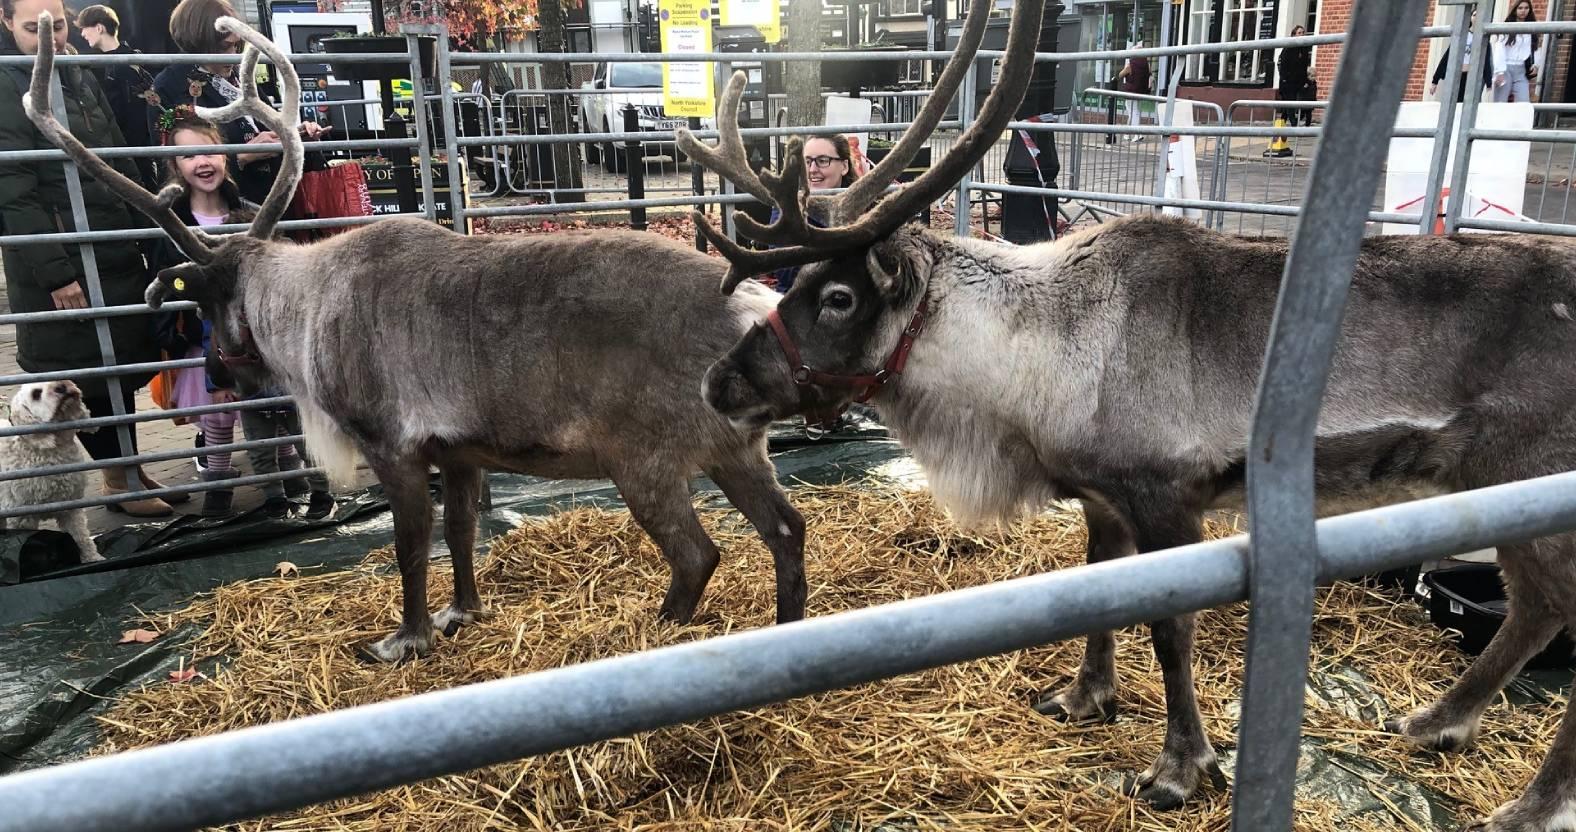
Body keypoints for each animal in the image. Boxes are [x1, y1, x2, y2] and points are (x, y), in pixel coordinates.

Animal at [19, 10, 823, 664]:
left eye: (210, 306)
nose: (217, 372)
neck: (304, 308)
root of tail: (755, 307)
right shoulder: (461, 450)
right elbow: (461, 533)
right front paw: (462, 612)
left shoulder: (393, 444)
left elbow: (409, 547)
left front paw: (405, 639)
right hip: (734, 451)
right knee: (787, 530)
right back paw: (788, 630)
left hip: (644, 459)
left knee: (697, 555)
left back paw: (658, 634)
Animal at [679, 0, 1576, 825]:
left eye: (835, 297)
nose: (719, 381)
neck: (1037, 355)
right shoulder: (1104, 497)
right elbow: (1100, 591)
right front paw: (1085, 698)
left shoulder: (1167, 496)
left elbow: (1171, 633)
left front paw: (1181, 768)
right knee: (1537, 609)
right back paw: (1438, 723)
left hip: (1532, 480)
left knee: (1550, 606)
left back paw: (1528, 804)